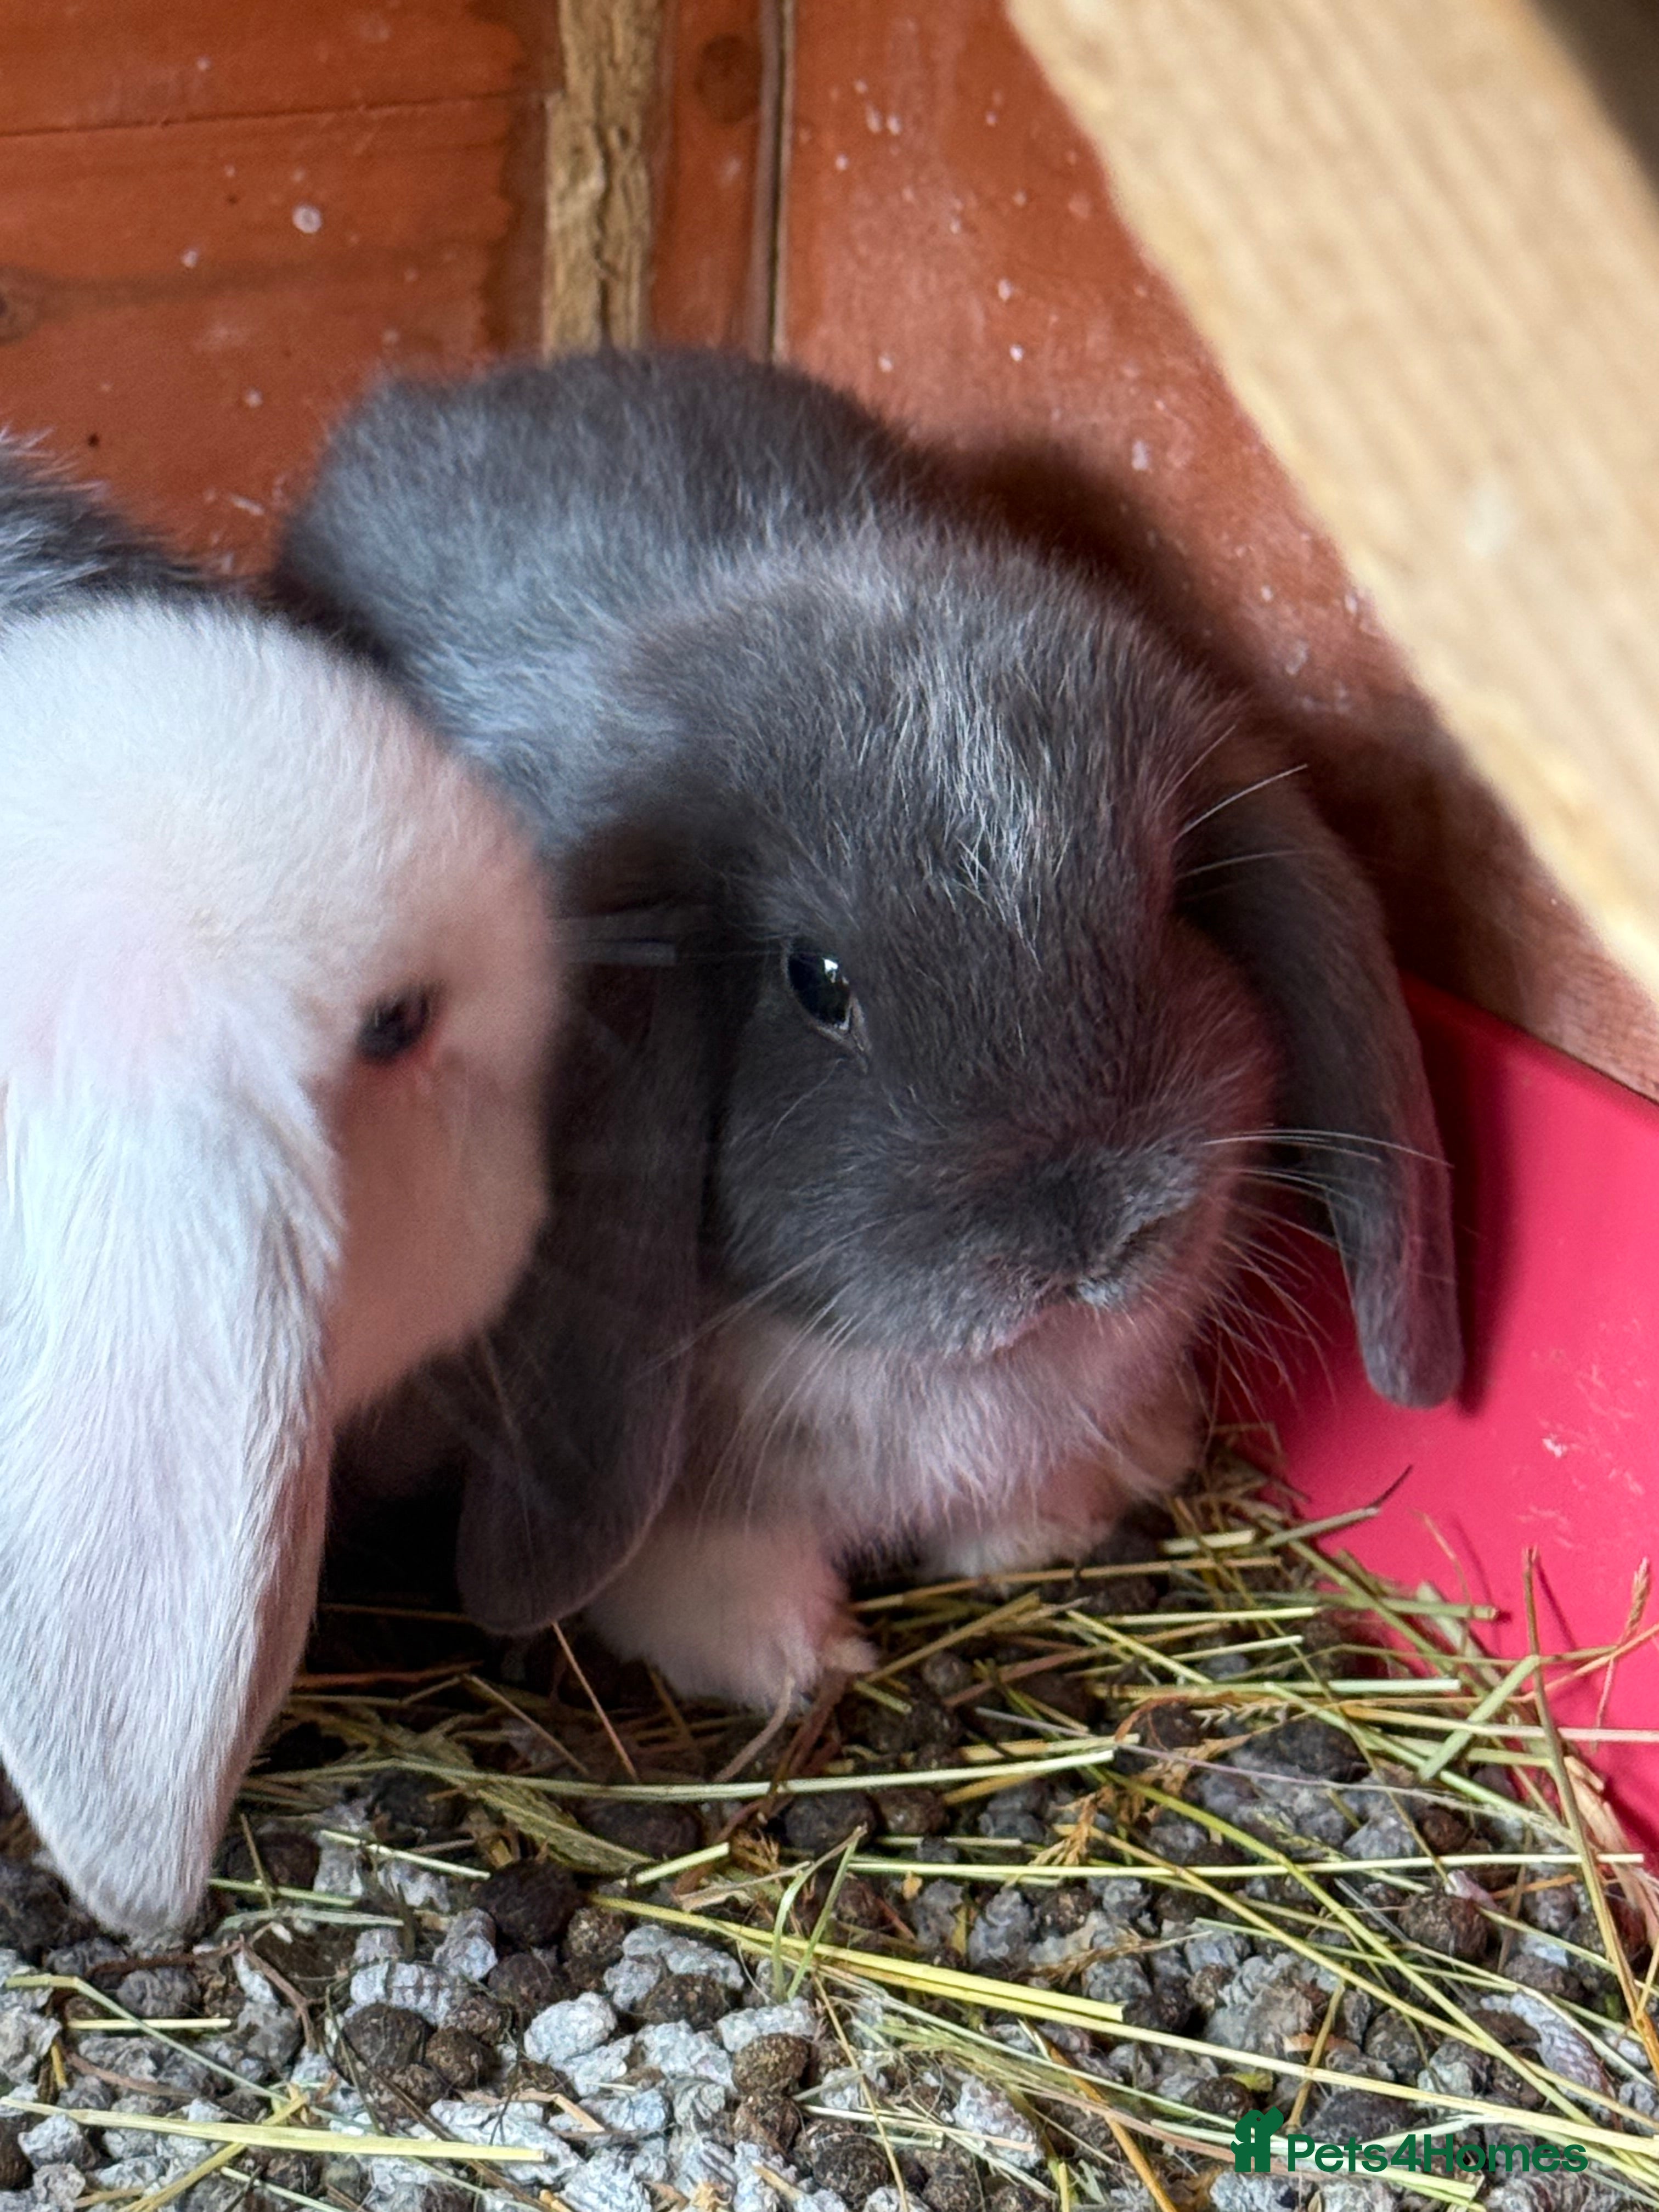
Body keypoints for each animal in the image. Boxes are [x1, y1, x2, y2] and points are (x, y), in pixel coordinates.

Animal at [277, 349, 1462, 1711]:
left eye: (1168, 909)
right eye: (816, 980)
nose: (1089, 1237)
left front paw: (1043, 1528)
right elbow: (710, 1555)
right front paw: (793, 1657)